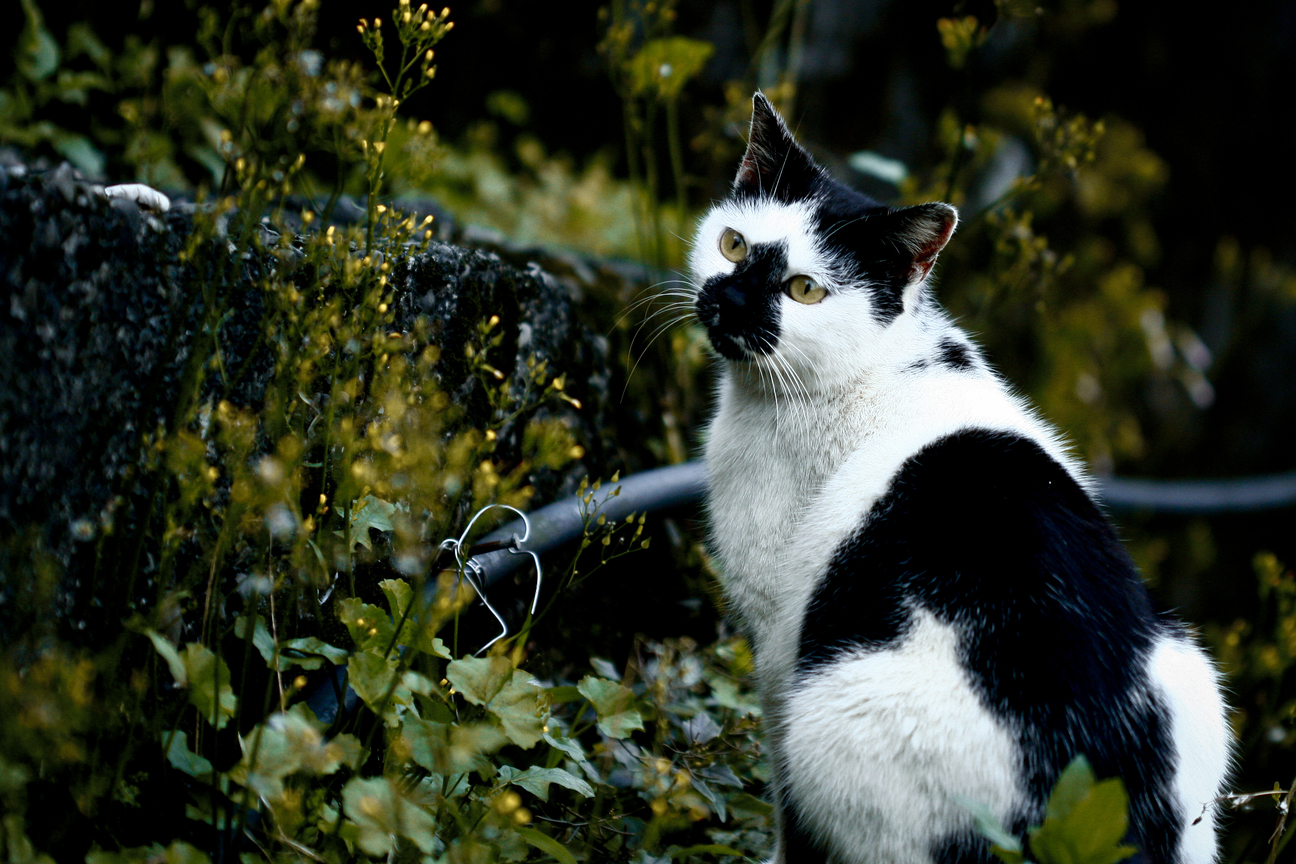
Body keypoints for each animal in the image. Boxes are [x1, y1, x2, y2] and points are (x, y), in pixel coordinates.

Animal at [689, 91, 1223, 860]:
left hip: (832, 723)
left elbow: (786, 812)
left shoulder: (774, 640)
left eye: (803, 290)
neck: (864, 374)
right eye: (733, 245)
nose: (728, 304)